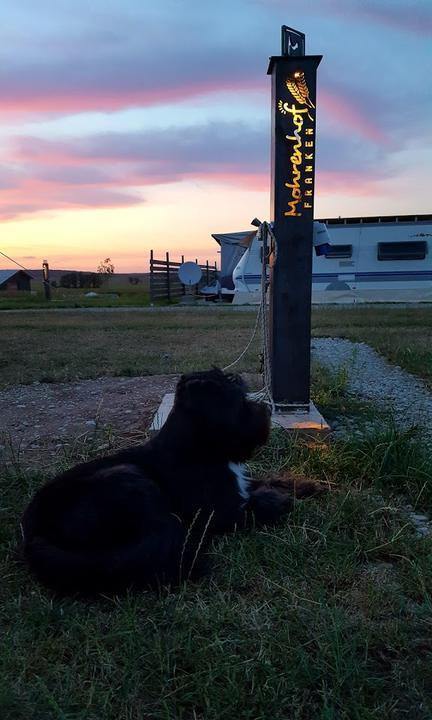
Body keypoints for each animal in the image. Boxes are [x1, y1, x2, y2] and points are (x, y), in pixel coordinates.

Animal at [21, 368, 290, 592]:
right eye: (239, 400)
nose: (267, 410)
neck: (199, 449)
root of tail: (32, 537)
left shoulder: (240, 486)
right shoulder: (220, 514)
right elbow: (259, 507)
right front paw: (275, 502)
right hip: (129, 478)